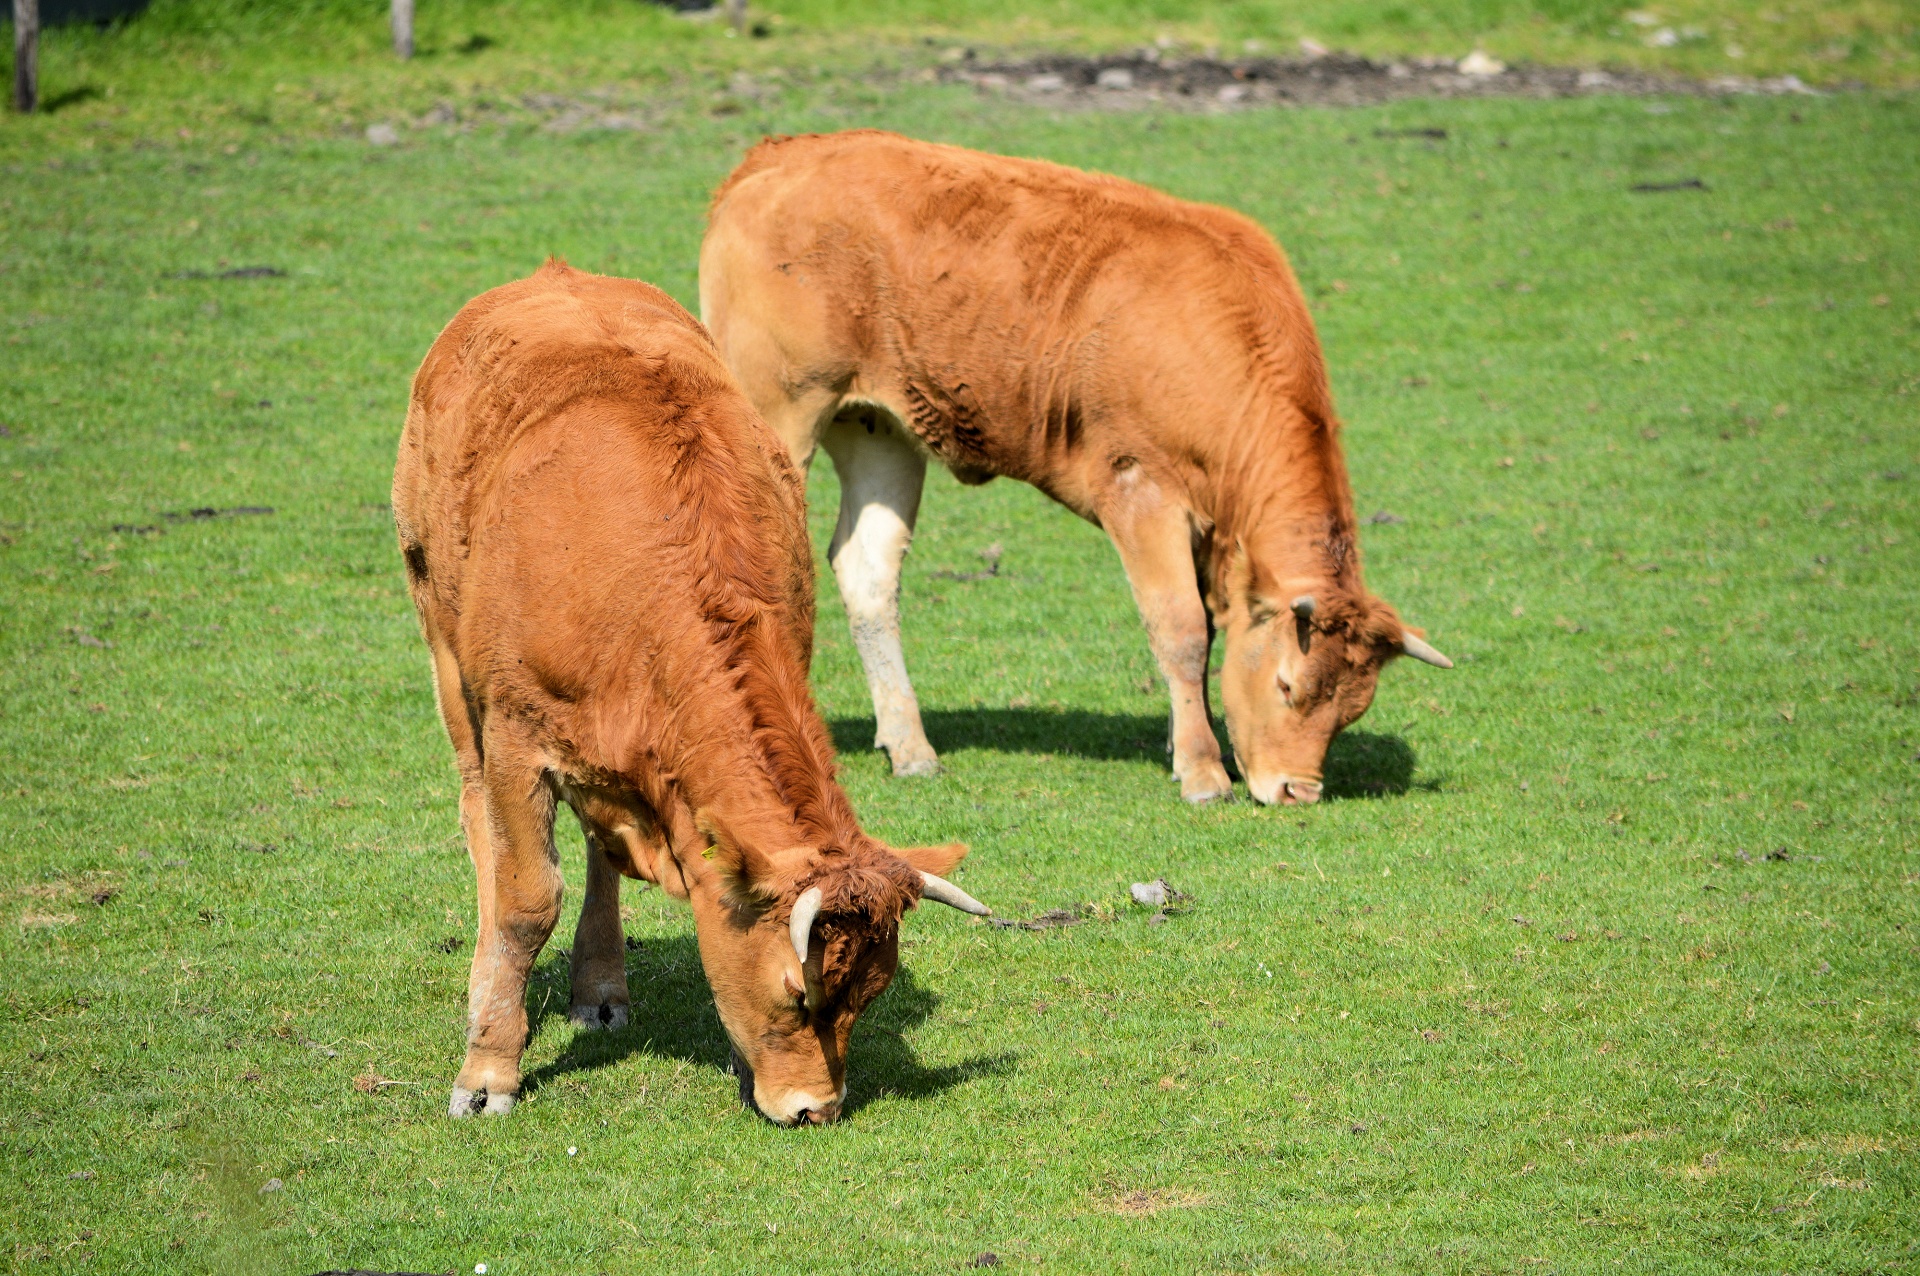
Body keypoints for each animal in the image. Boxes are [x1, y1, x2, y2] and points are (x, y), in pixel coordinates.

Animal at [389, 260, 990, 1128]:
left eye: (870, 994)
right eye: (797, 993)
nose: (815, 1109)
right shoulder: (515, 734)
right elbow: (524, 900)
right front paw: (488, 1070)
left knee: (599, 849)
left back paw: (600, 984)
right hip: (440, 633)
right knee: (482, 826)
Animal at [706, 131, 1451, 805]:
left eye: (1353, 708)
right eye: (1287, 686)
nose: (1299, 791)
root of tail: (778, 154)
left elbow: (1206, 632)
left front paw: (1189, 746)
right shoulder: (1140, 490)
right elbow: (1181, 629)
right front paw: (1203, 773)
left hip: (878, 430)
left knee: (868, 572)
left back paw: (911, 746)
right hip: (780, 411)